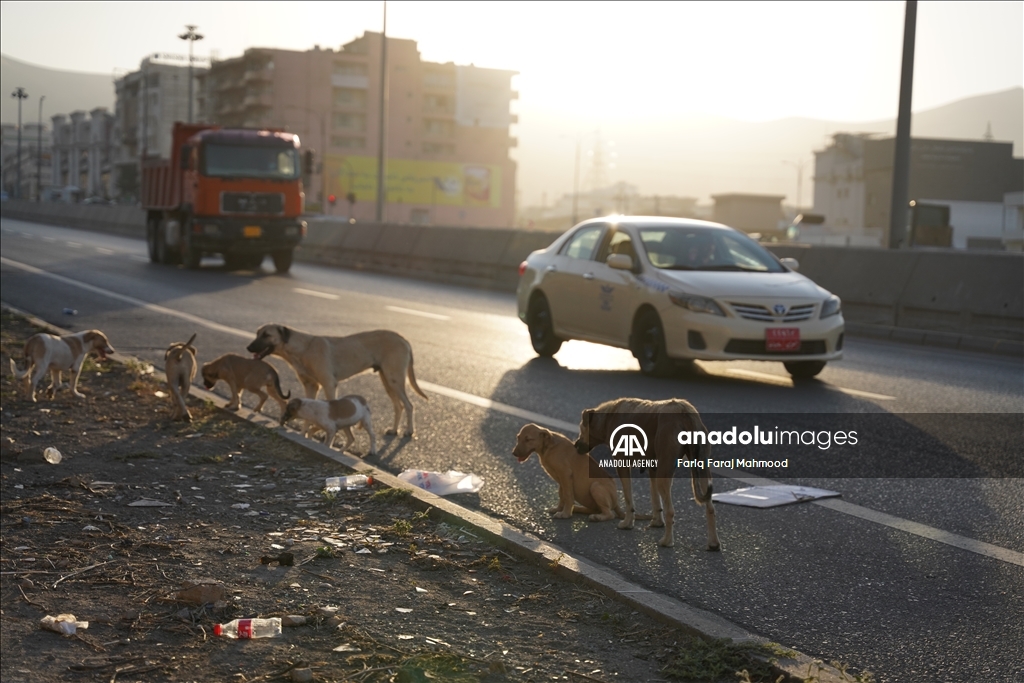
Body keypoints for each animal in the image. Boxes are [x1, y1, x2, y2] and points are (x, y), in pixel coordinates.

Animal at [247, 325, 428, 438]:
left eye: (266, 335)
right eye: (257, 333)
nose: (249, 348)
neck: (303, 348)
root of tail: (403, 339)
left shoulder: (329, 385)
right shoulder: (311, 387)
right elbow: (306, 414)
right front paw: (303, 434)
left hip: (394, 379)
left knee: (409, 405)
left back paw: (409, 431)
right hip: (388, 381)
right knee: (398, 406)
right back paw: (394, 430)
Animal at [573, 397, 716, 552]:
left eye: (581, 428)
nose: (575, 445)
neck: (607, 418)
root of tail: (684, 411)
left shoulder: (623, 465)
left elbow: (628, 498)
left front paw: (628, 523)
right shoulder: (653, 468)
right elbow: (655, 498)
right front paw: (657, 521)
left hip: (666, 470)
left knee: (670, 511)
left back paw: (667, 541)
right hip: (702, 469)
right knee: (710, 507)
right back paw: (713, 543)